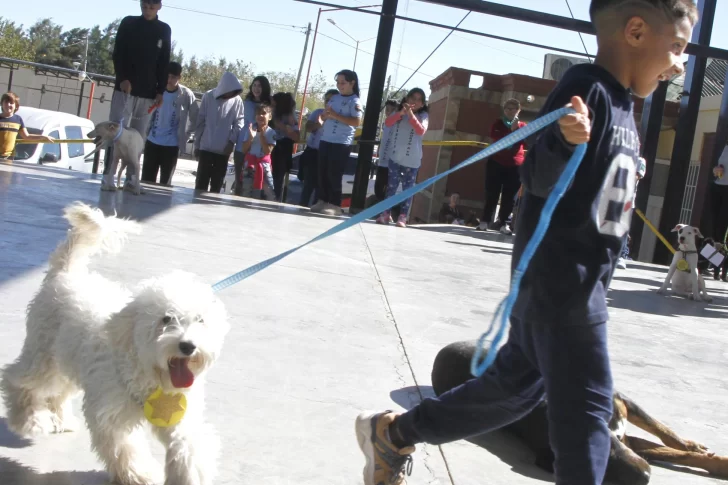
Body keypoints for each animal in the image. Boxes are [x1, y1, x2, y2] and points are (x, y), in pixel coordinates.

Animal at [0, 201, 230, 484]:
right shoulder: (111, 412)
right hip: (44, 356)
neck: (150, 374)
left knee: (59, 391)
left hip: (68, 359)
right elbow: (125, 446)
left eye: (200, 320)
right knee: (19, 379)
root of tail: (65, 273)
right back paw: (30, 420)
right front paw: (141, 473)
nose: (188, 346)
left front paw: (189, 475)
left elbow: (189, 445)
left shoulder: (178, 413)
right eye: (166, 319)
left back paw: (62, 420)